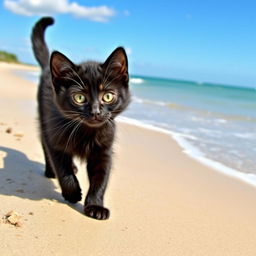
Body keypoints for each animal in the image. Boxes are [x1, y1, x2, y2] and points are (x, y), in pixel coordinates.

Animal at [31, 17, 130, 220]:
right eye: (79, 97)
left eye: (108, 96)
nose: (95, 112)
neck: (86, 131)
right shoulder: (55, 137)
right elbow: (62, 168)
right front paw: (72, 192)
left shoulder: (103, 150)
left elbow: (101, 178)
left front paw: (95, 206)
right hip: (44, 118)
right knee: (45, 145)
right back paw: (50, 171)